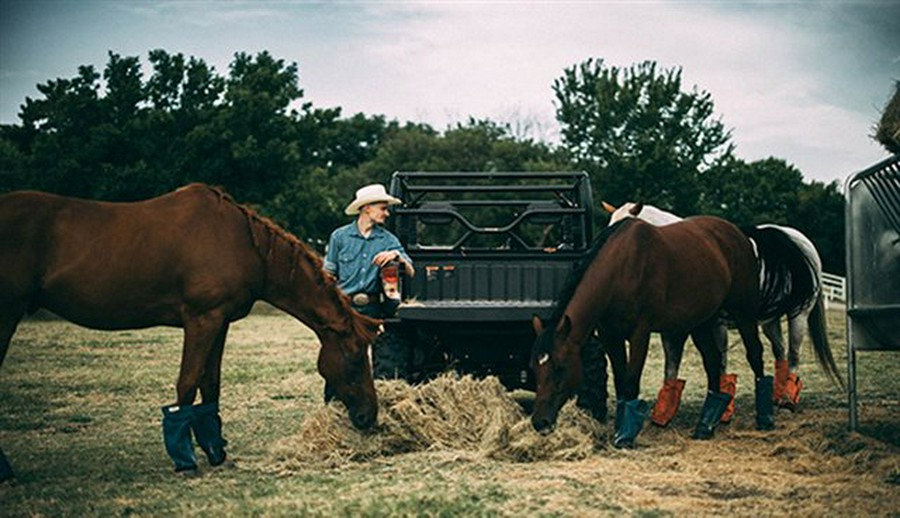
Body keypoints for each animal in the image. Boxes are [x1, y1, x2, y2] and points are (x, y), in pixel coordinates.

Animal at [0, 184, 380, 480]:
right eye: (355, 357)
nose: (369, 417)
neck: (241, 242)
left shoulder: (220, 322)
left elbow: (209, 385)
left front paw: (215, 453)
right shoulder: (201, 320)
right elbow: (187, 384)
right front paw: (184, 458)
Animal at [532, 217, 768, 448]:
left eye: (560, 368)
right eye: (534, 368)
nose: (539, 422)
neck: (621, 269)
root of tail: (737, 233)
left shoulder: (640, 334)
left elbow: (631, 382)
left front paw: (625, 437)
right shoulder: (610, 337)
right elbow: (620, 383)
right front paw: (619, 430)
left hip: (743, 312)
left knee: (755, 354)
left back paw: (764, 419)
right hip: (702, 321)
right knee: (712, 360)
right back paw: (706, 425)